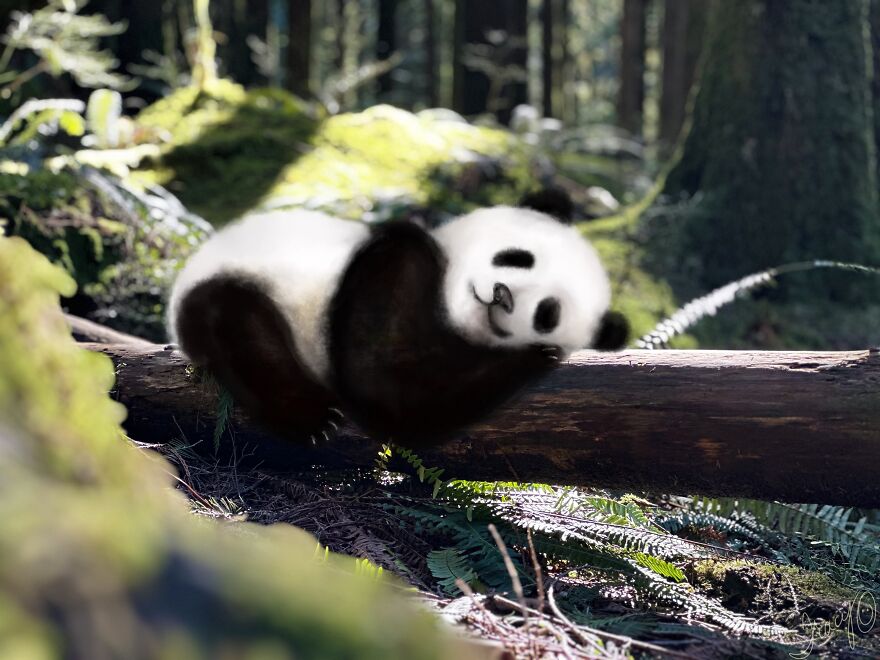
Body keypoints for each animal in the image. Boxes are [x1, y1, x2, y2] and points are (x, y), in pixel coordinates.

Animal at [168, 191, 628, 445]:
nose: (503, 295)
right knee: (251, 341)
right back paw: (313, 418)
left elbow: (399, 397)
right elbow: (384, 387)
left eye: (548, 313)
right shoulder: (386, 268)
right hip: (244, 284)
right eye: (517, 257)